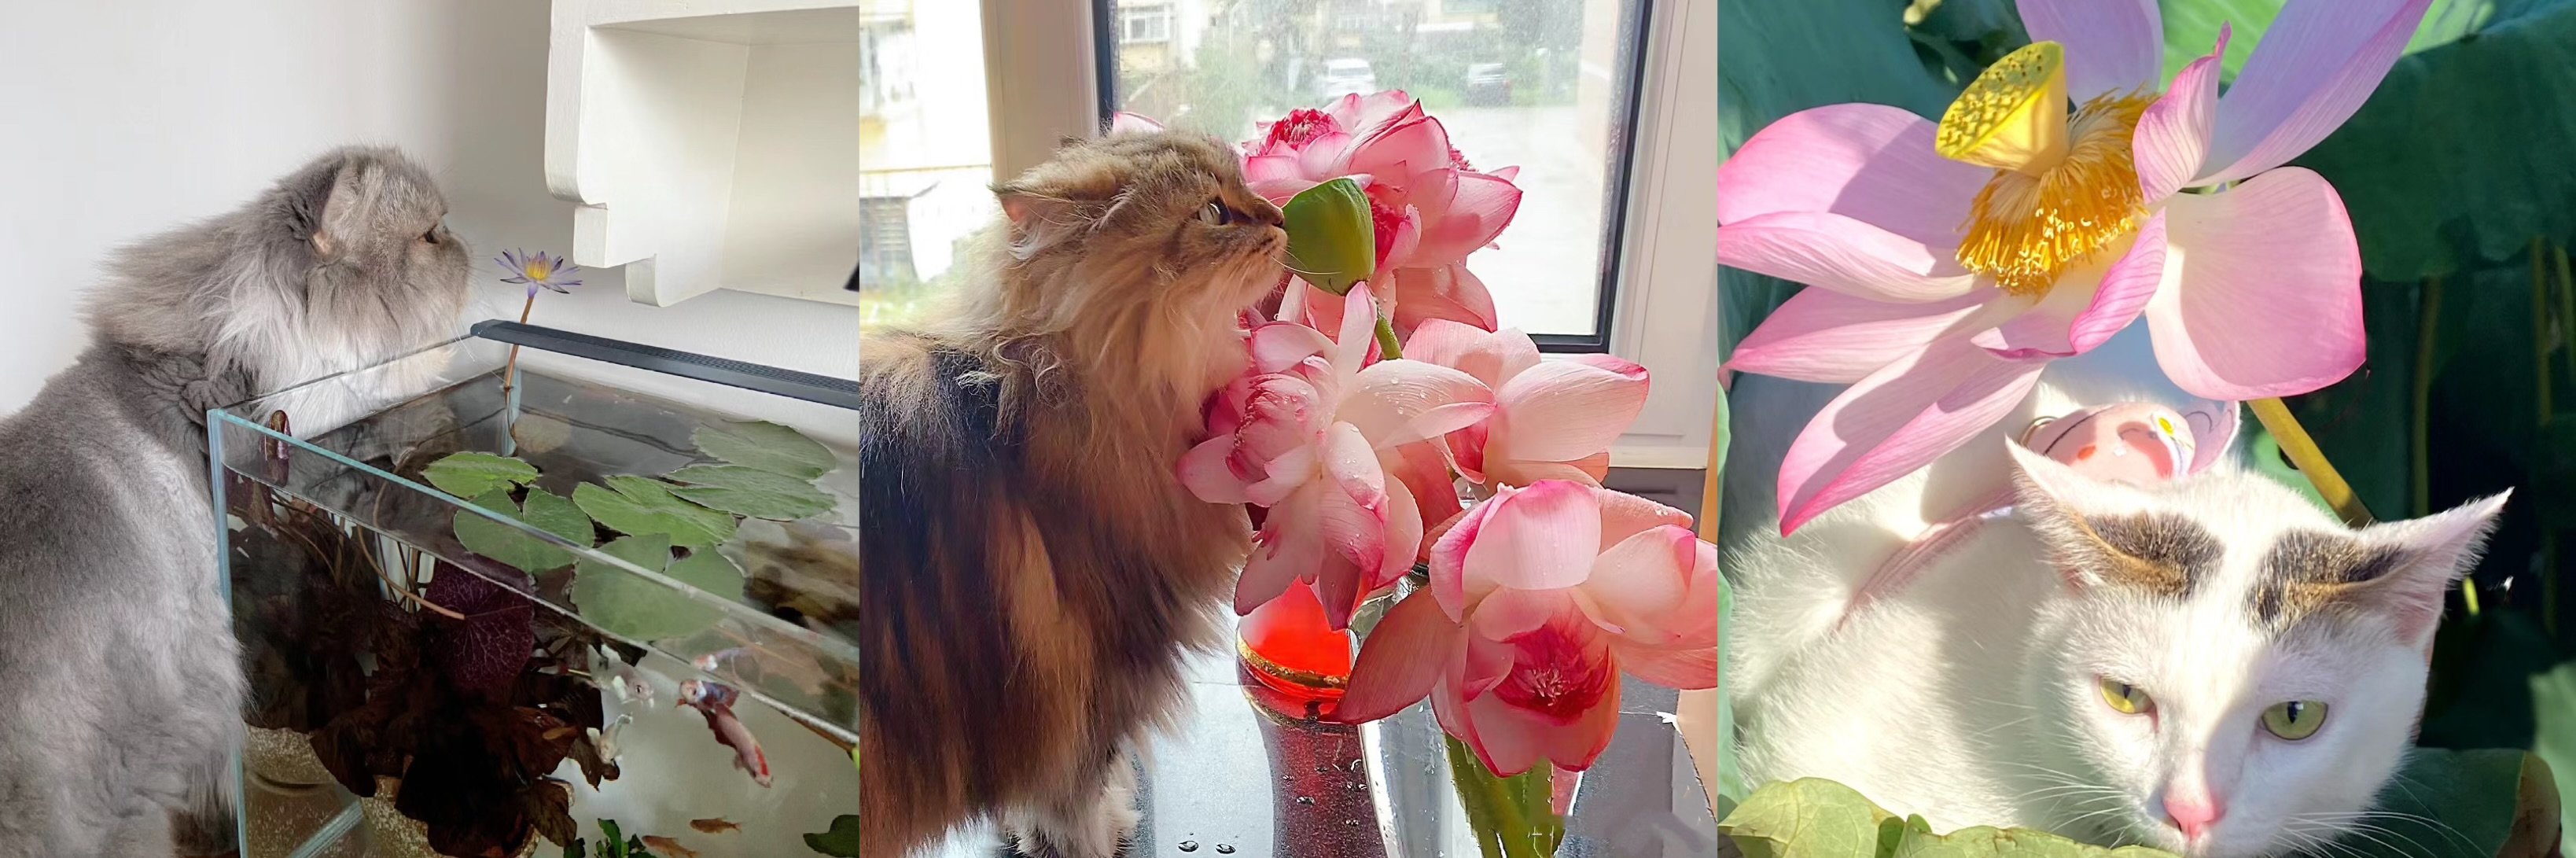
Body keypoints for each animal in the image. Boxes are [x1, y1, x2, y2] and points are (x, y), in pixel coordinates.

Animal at [856, 129, 1285, 857]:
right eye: (1214, 213)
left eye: (1247, 184)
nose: (1281, 216)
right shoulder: (1096, 678)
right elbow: (1076, 799)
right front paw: (1104, 829)